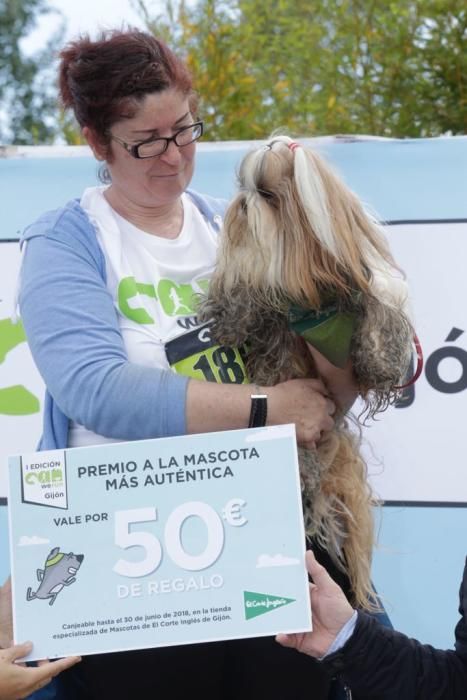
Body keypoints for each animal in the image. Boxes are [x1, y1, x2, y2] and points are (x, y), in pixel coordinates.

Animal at [201, 135, 416, 608]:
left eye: (266, 193)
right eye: (243, 185)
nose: (241, 201)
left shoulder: (365, 277)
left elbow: (381, 310)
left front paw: (379, 357)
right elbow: (241, 294)